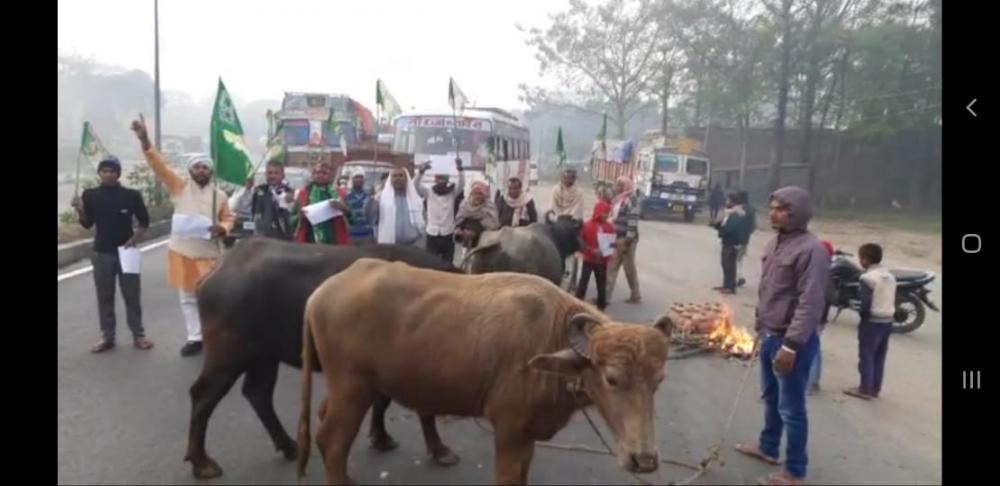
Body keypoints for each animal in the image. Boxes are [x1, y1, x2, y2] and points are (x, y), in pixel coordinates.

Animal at [296, 260, 672, 484]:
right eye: (612, 379)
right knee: (332, 442)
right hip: (352, 388)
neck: (549, 334)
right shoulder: (509, 430)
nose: (644, 460)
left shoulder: (526, 435)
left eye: (658, 382)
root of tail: (320, 293)